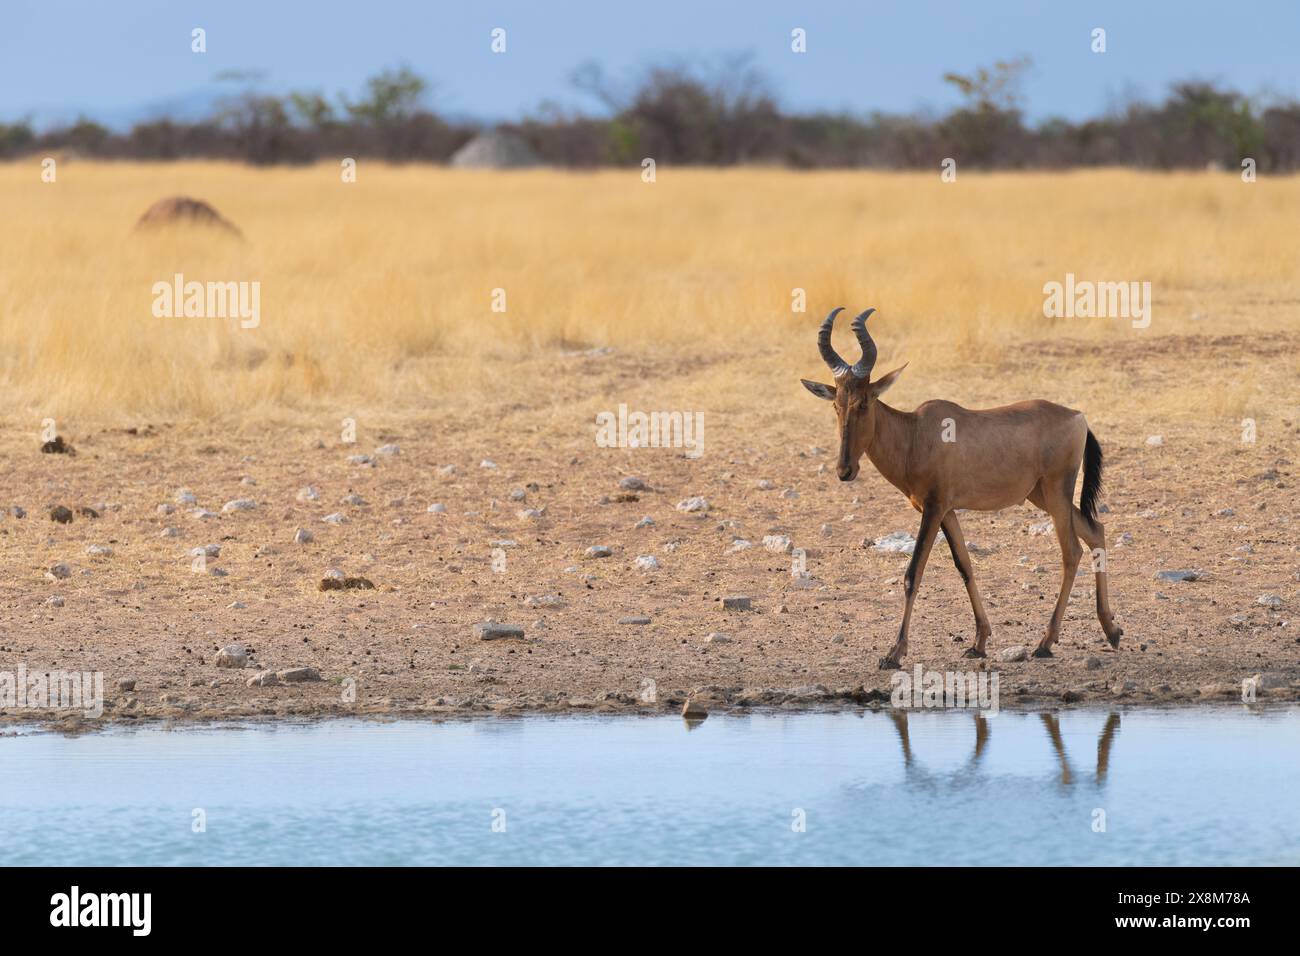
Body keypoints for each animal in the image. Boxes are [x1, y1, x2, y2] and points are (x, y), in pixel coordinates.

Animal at [795, 310, 1123, 671]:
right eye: (837, 405)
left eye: (865, 401)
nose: (845, 470)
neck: (916, 433)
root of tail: (1078, 417)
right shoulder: (948, 510)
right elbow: (964, 565)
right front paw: (978, 643)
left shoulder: (934, 507)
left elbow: (913, 574)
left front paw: (893, 653)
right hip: (1042, 496)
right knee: (1096, 531)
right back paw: (1111, 631)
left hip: (1056, 492)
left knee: (1072, 551)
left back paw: (1046, 643)